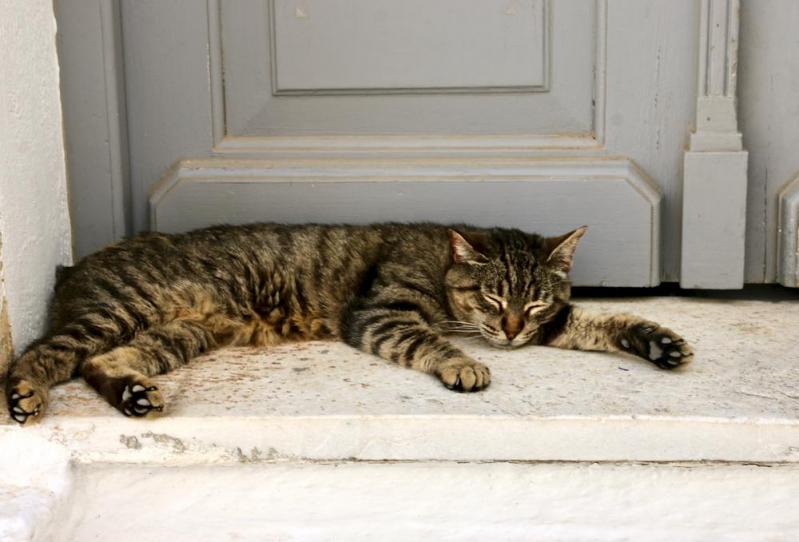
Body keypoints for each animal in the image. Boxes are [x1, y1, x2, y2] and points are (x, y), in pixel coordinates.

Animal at [4, 224, 692, 424]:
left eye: (536, 303)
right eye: (493, 298)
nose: (515, 330)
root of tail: (74, 265)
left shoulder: (555, 325)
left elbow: (606, 321)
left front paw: (658, 341)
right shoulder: (379, 313)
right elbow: (430, 339)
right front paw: (464, 363)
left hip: (179, 333)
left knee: (100, 364)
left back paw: (135, 395)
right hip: (119, 311)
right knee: (44, 352)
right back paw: (25, 394)